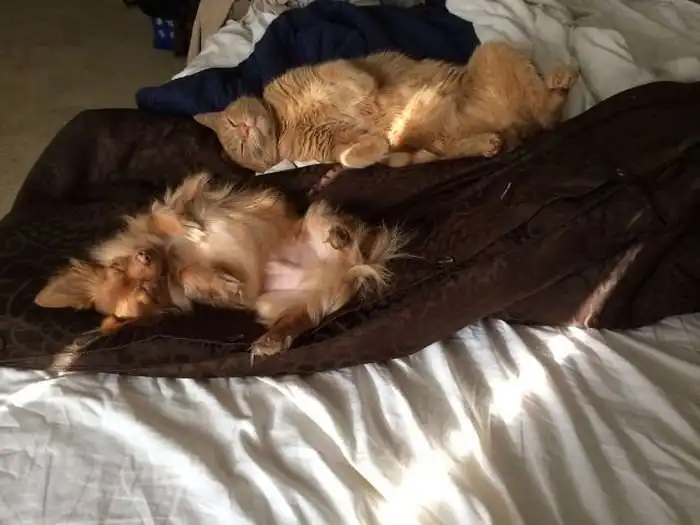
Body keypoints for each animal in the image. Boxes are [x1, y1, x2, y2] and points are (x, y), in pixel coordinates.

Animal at [196, 41, 579, 175]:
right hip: (446, 139)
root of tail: (518, 127)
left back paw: (562, 76)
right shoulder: (336, 144)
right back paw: (487, 143)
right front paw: (379, 146)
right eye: (241, 144)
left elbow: (340, 74)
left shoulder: (341, 68)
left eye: (234, 124)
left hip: (494, 51)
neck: (284, 121)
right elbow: (352, 156)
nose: (246, 129)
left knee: (548, 112)